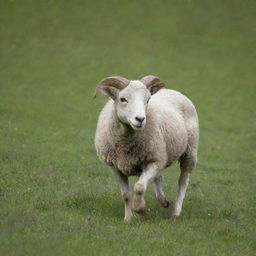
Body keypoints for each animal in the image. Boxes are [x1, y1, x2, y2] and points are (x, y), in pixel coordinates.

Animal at [95, 75, 199, 222]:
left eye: (148, 99)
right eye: (123, 99)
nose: (140, 119)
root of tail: (172, 90)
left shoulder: (153, 161)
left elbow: (139, 187)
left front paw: (139, 208)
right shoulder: (115, 167)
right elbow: (126, 194)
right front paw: (128, 218)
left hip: (189, 151)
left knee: (183, 181)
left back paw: (176, 211)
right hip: (163, 154)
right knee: (159, 177)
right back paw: (163, 201)